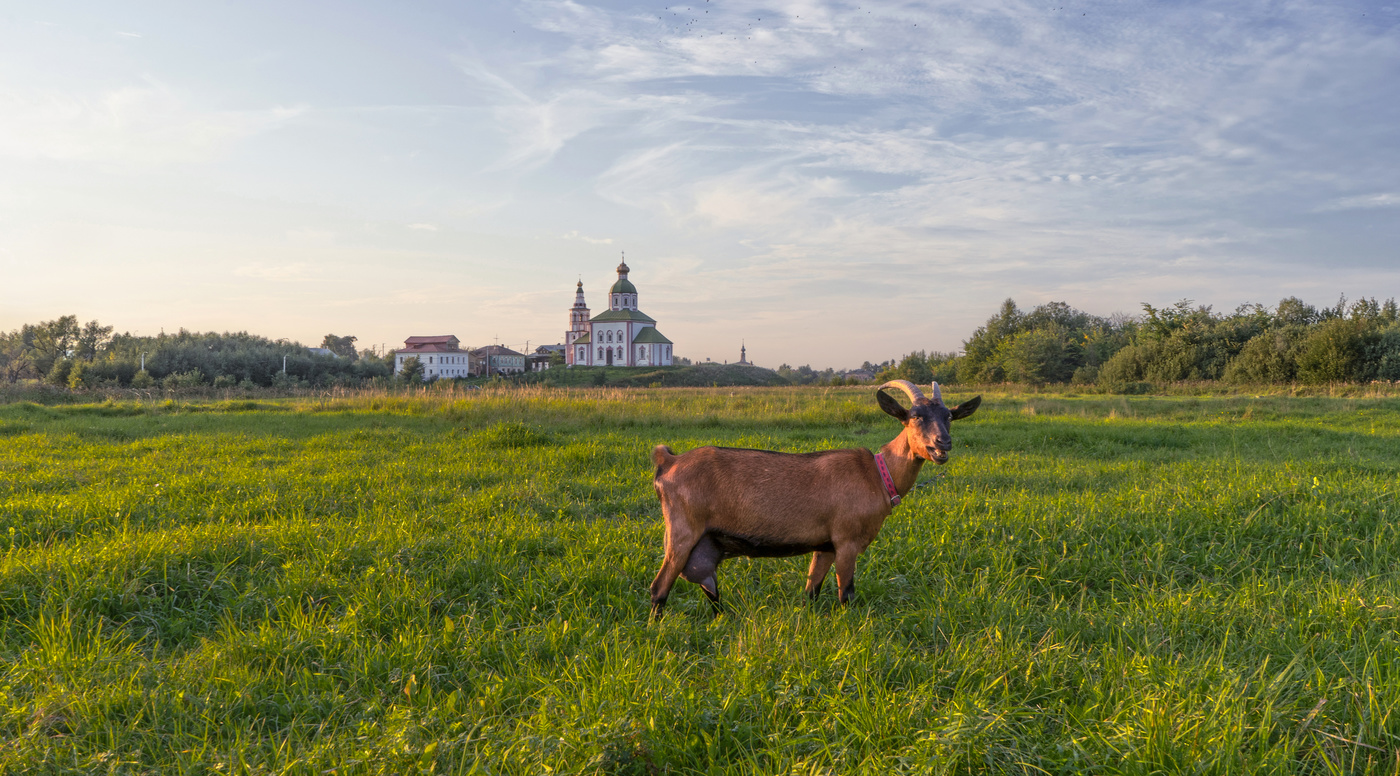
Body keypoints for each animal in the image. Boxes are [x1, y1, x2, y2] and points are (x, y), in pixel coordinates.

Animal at [649, 378, 980, 613]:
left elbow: (812, 591)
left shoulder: (825, 546)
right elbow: (846, 594)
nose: (942, 443)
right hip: (682, 532)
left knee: (707, 587)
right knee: (659, 587)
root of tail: (669, 461)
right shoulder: (847, 541)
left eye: (949, 416)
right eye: (914, 416)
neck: (878, 474)